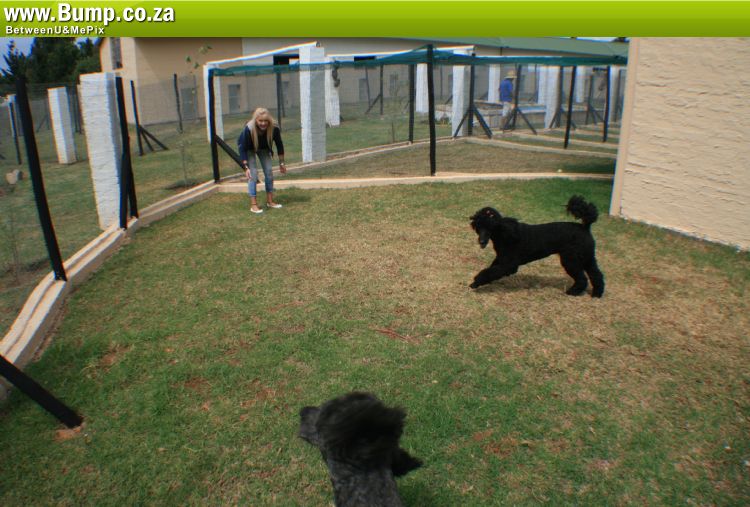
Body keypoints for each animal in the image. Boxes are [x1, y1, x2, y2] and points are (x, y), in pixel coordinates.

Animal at [469, 195, 605, 297]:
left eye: (490, 227)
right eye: (478, 227)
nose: (481, 241)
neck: (504, 233)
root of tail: (585, 227)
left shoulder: (509, 264)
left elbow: (489, 272)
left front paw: (476, 282)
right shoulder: (501, 259)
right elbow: (491, 269)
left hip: (571, 259)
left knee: (582, 279)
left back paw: (573, 292)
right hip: (587, 257)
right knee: (596, 275)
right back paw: (597, 294)